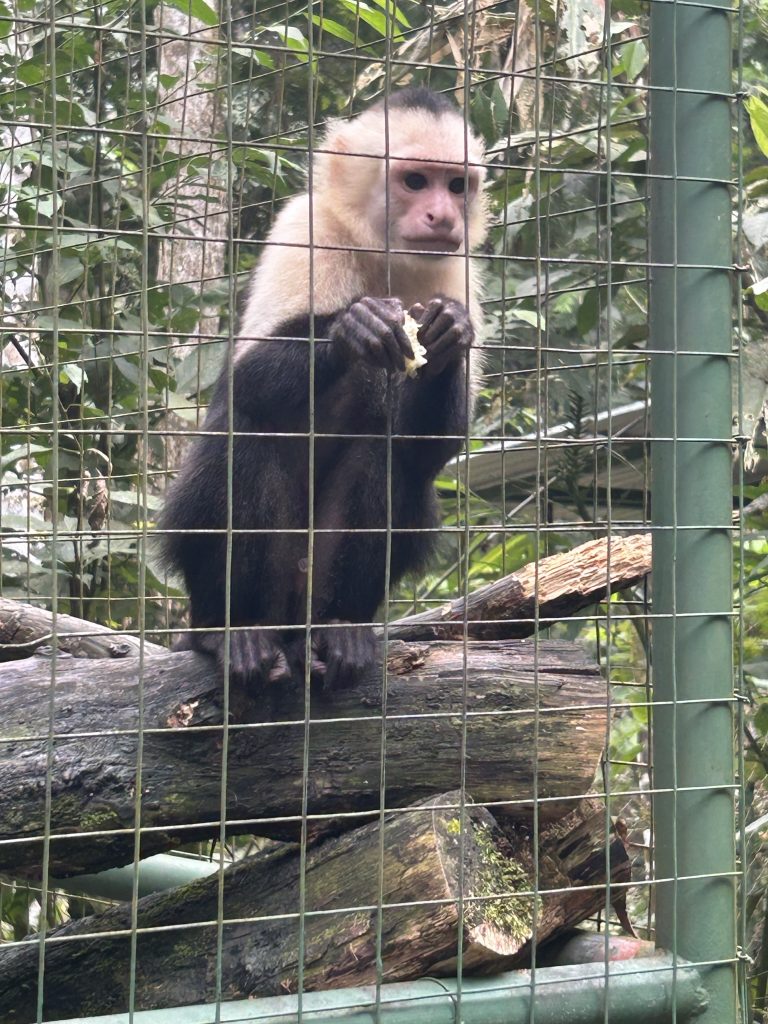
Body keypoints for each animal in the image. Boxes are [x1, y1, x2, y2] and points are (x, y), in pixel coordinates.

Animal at [159, 88, 489, 700]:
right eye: (415, 181)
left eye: (457, 185)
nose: (444, 215)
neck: (381, 256)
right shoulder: (305, 226)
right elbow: (246, 384)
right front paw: (350, 330)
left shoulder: (457, 269)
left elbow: (432, 447)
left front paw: (450, 335)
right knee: (246, 436)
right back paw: (228, 632)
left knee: (386, 455)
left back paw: (340, 627)